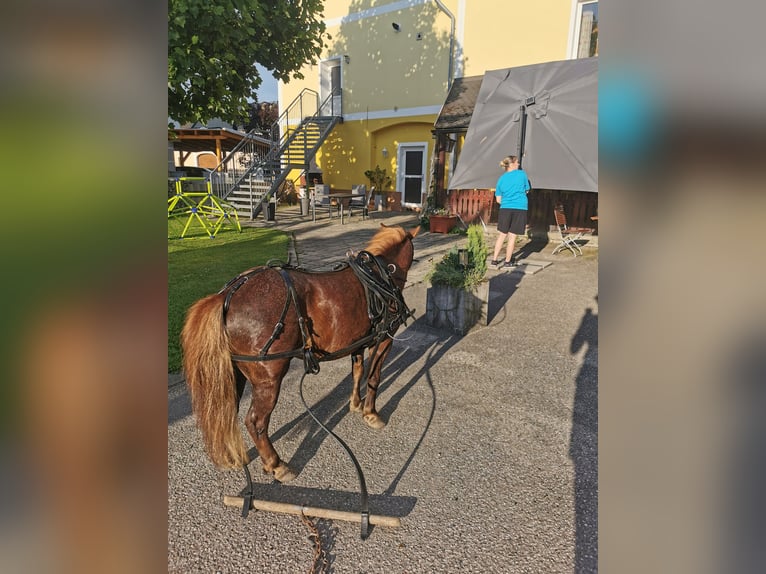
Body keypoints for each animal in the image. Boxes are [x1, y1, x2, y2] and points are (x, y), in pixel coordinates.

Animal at [182, 223, 420, 484]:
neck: (379, 277)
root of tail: (227, 295)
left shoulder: (357, 342)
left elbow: (358, 371)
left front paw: (355, 404)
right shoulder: (385, 338)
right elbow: (374, 377)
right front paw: (371, 413)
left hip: (234, 373)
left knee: (226, 412)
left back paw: (233, 456)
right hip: (269, 377)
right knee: (255, 421)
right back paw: (275, 464)